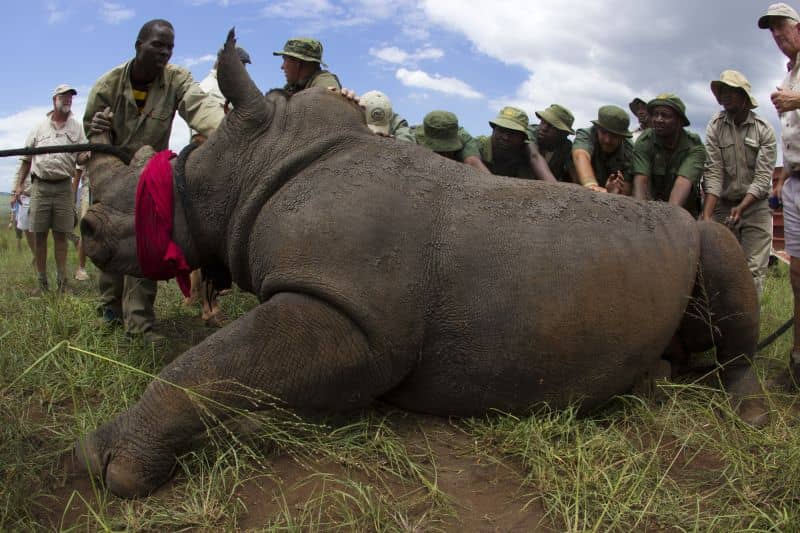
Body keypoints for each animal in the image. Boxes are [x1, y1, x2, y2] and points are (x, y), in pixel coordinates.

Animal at [75, 31, 766, 498]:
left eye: (161, 180)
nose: (86, 228)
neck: (261, 159)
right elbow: (240, 368)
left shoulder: (356, 319)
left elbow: (212, 363)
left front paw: (108, 464)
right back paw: (656, 381)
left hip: (704, 231)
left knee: (723, 252)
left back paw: (746, 412)